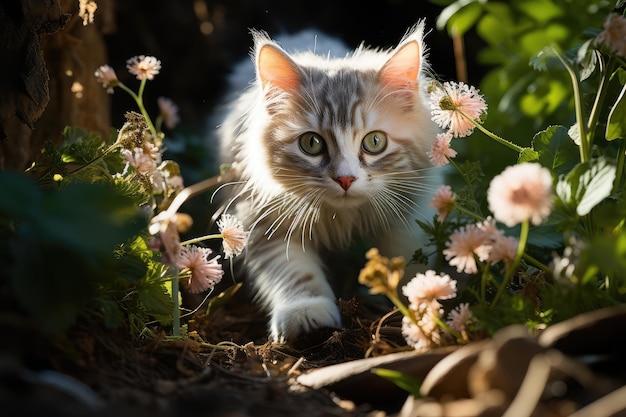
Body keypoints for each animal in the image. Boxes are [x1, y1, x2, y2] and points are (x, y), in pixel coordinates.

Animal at [214, 22, 438, 342]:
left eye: (375, 142)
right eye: (311, 144)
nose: (345, 178)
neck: (342, 217)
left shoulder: (408, 210)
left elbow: (406, 254)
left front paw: (419, 297)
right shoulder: (259, 214)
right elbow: (292, 271)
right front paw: (306, 311)